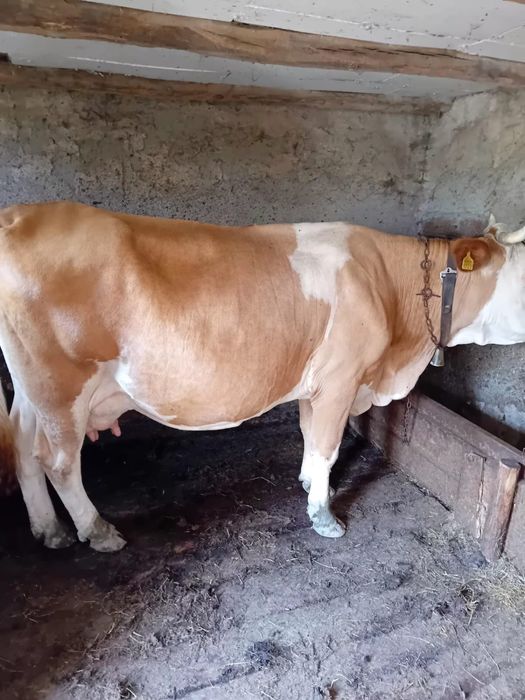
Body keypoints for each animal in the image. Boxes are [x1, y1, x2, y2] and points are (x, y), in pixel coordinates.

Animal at [0, 202, 523, 552]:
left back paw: (49, 529)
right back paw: (96, 530)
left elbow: (310, 435)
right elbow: (328, 444)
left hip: (31, 387)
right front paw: (324, 517)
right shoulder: (342, 376)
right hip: (61, 383)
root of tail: (18, 215)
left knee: (22, 447)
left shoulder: (319, 381)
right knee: (58, 460)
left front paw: (312, 485)